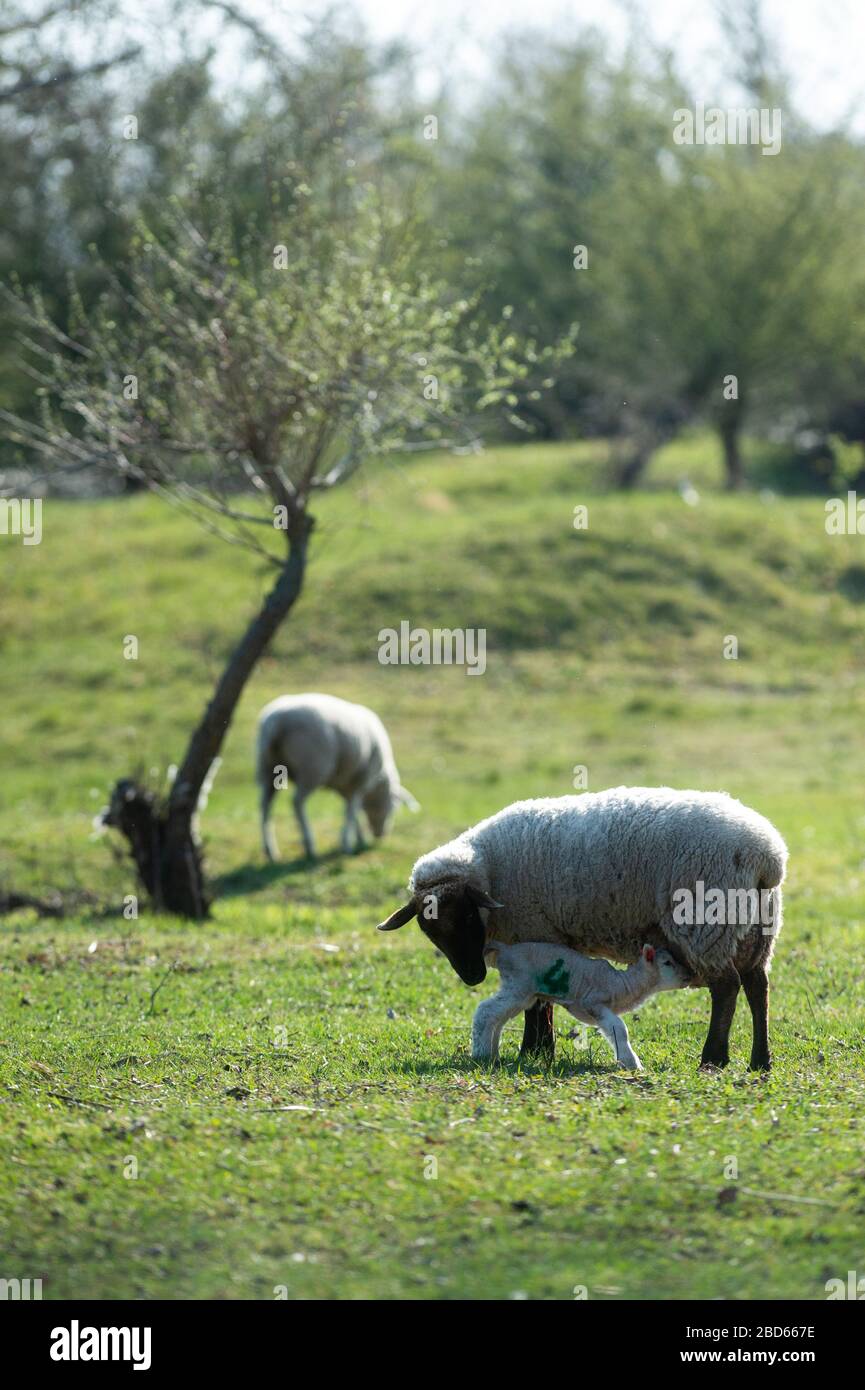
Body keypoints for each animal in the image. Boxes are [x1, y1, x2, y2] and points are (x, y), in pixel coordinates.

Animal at [255, 692, 419, 861]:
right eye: (395, 807)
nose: (381, 835)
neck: (377, 787)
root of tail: (276, 722)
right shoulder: (360, 782)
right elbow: (351, 811)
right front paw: (347, 844)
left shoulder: (345, 784)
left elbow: (354, 811)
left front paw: (359, 838)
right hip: (312, 768)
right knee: (297, 802)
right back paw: (309, 845)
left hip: (267, 768)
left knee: (265, 805)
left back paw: (270, 850)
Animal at [475, 939, 692, 1067]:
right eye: (667, 963)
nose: (688, 976)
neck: (623, 984)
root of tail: (505, 949)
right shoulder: (593, 1003)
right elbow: (620, 1029)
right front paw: (633, 1063)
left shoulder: (602, 1010)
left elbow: (613, 1030)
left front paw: (627, 1060)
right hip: (519, 985)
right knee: (485, 1011)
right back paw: (481, 1054)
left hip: (523, 993)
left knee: (498, 1018)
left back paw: (493, 1053)